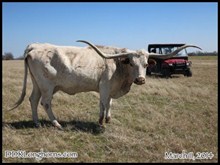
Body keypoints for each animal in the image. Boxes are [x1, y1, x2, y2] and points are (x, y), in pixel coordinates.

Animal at [8, 40, 201, 129]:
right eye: (131, 63)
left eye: (146, 64)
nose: (140, 79)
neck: (119, 66)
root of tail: (35, 46)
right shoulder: (104, 87)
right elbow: (103, 103)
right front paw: (101, 121)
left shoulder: (111, 89)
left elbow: (109, 103)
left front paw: (108, 118)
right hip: (47, 86)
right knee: (45, 103)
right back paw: (56, 124)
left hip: (37, 84)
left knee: (33, 100)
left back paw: (36, 123)